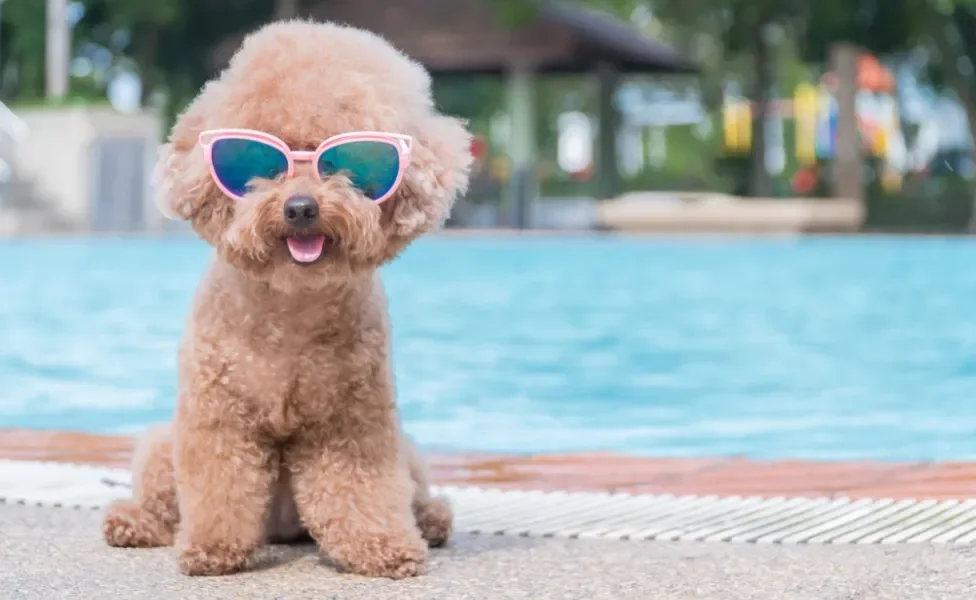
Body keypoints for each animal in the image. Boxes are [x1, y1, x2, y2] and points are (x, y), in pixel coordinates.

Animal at [101, 19, 474, 580]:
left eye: (346, 164)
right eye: (261, 162)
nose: (300, 207)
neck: (292, 308)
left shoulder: (353, 421)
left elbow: (363, 488)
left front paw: (383, 545)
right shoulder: (218, 415)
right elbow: (220, 483)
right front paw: (212, 548)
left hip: (405, 448)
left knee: (414, 489)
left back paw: (430, 518)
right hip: (162, 446)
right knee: (161, 499)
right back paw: (132, 521)